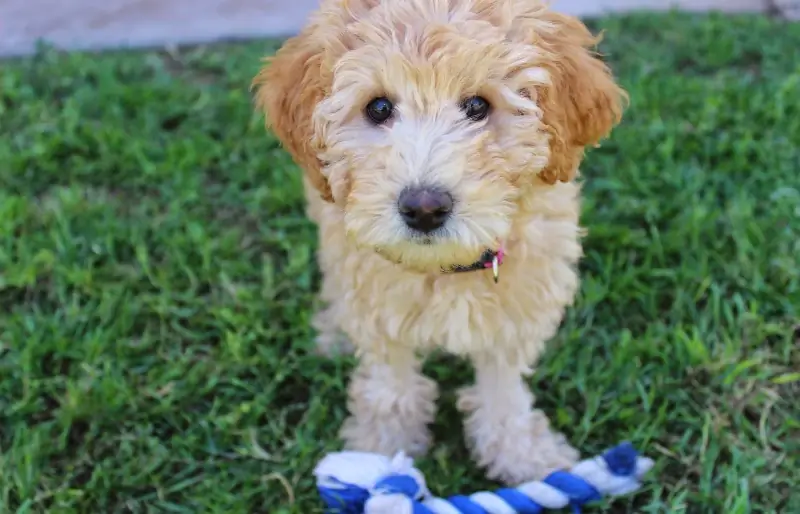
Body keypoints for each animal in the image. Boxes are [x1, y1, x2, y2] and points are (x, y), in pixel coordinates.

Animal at [253, 0, 628, 482]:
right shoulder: (377, 305)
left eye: (477, 105)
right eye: (378, 107)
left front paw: (523, 456)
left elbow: (503, 391)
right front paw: (381, 454)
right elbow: (391, 385)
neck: (444, 267)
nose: (425, 208)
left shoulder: (517, 308)